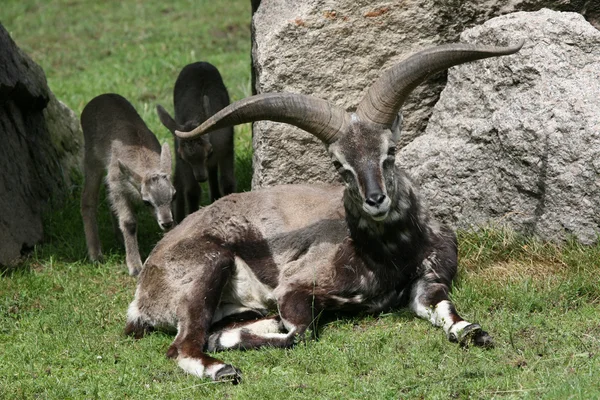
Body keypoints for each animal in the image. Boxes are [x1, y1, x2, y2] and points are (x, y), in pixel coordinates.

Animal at [79, 93, 175, 276]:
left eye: (173, 196)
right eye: (147, 201)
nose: (167, 223)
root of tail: (100, 96)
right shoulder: (118, 188)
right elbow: (129, 222)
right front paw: (135, 266)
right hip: (91, 159)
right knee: (88, 199)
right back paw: (96, 255)